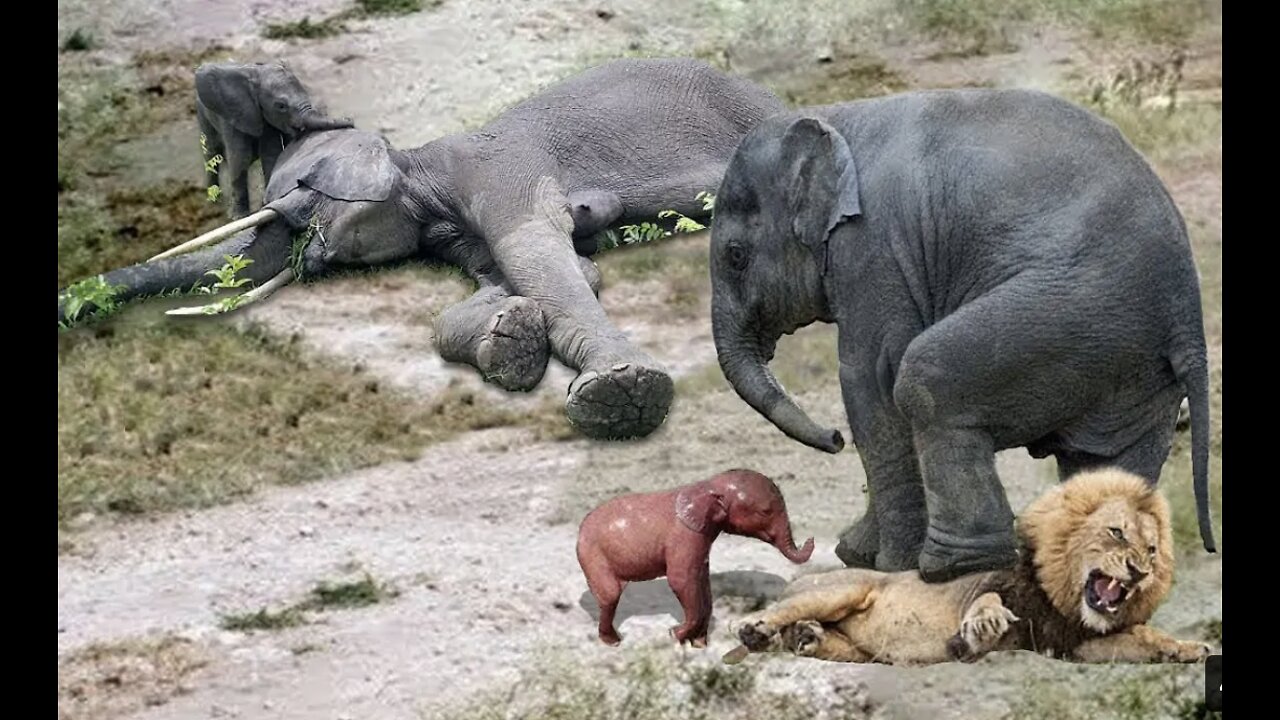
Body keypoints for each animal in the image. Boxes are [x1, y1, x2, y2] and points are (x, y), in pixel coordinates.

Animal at [194, 60, 355, 219]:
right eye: (281, 106)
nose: (350, 120)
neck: (256, 73)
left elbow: (271, 154)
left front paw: (266, 204)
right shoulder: (235, 113)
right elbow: (240, 158)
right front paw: (240, 217)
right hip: (203, 114)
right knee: (211, 151)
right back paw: (214, 202)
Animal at [578, 466, 814, 645]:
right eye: (765, 511)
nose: (811, 538)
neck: (709, 485)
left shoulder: (701, 539)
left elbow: (701, 581)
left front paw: (698, 644)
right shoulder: (685, 536)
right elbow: (680, 581)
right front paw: (675, 634)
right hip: (592, 554)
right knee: (610, 594)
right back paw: (614, 642)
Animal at [706, 87, 1213, 579]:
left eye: (735, 255)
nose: (832, 438)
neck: (836, 118)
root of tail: (1188, 312)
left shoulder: (874, 249)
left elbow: (869, 379)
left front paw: (885, 563)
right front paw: (860, 555)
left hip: (1074, 313)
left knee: (925, 381)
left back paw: (951, 565)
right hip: (1133, 361)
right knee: (1105, 461)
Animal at [727, 468, 1213, 666]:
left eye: (1152, 550)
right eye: (1116, 532)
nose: (1140, 571)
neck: (1062, 599)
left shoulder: (1069, 645)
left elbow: (1144, 638)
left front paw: (1189, 648)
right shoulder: (992, 587)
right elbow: (989, 598)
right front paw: (983, 627)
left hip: (863, 649)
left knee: (827, 643)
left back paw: (805, 637)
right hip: (839, 590)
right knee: (779, 614)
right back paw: (759, 628)